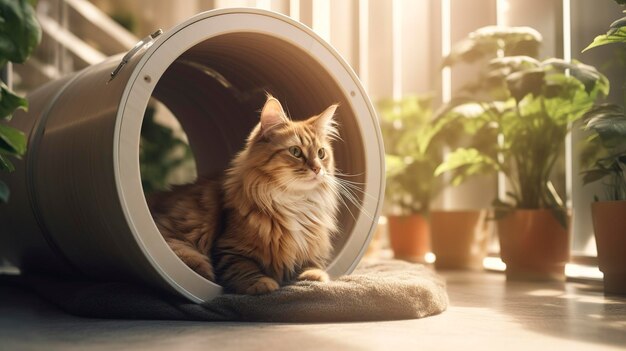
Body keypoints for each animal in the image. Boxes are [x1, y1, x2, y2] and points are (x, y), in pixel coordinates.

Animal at [148, 95, 338, 294]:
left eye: (321, 153)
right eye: (295, 151)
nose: (317, 169)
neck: (294, 202)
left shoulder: (312, 249)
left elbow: (311, 264)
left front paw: (314, 276)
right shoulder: (230, 248)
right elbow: (244, 268)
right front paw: (263, 284)